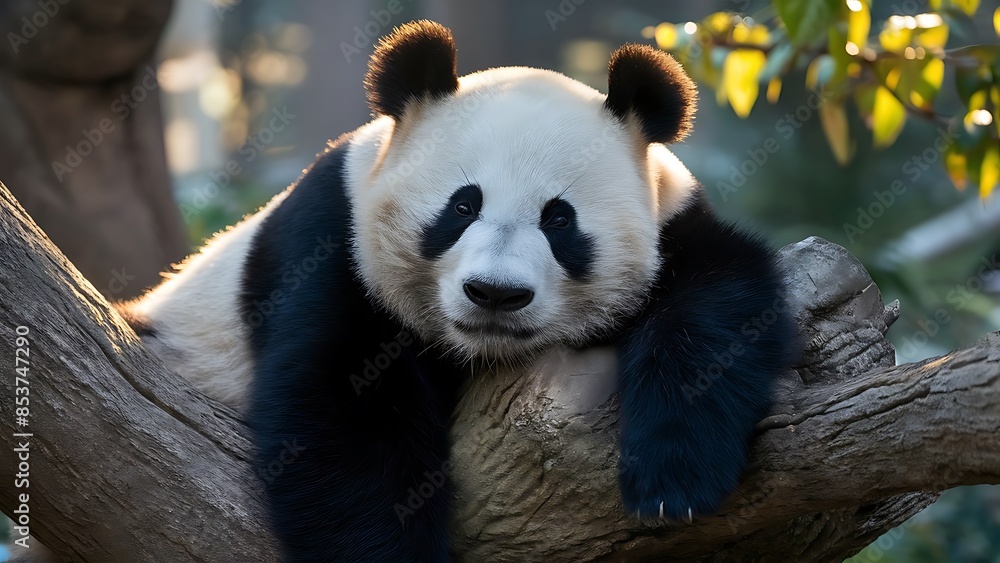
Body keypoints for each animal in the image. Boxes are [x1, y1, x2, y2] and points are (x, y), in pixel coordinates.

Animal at [120, 20, 797, 562]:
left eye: (559, 220)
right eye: (462, 206)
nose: (494, 294)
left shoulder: (673, 221)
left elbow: (719, 300)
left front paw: (673, 482)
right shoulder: (332, 237)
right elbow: (337, 408)